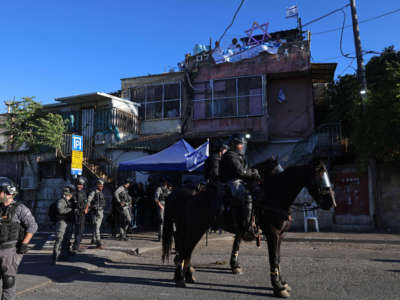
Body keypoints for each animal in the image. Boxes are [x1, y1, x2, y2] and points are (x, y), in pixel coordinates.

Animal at [162, 159, 334, 298]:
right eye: (319, 177)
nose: (330, 202)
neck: (273, 197)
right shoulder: (272, 233)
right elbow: (273, 258)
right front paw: (278, 287)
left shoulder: (279, 235)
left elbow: (276, 257)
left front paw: (281, 282)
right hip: (194, 228)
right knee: (184, 249)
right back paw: (180, 278)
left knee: (187, 249)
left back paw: (187, 275)